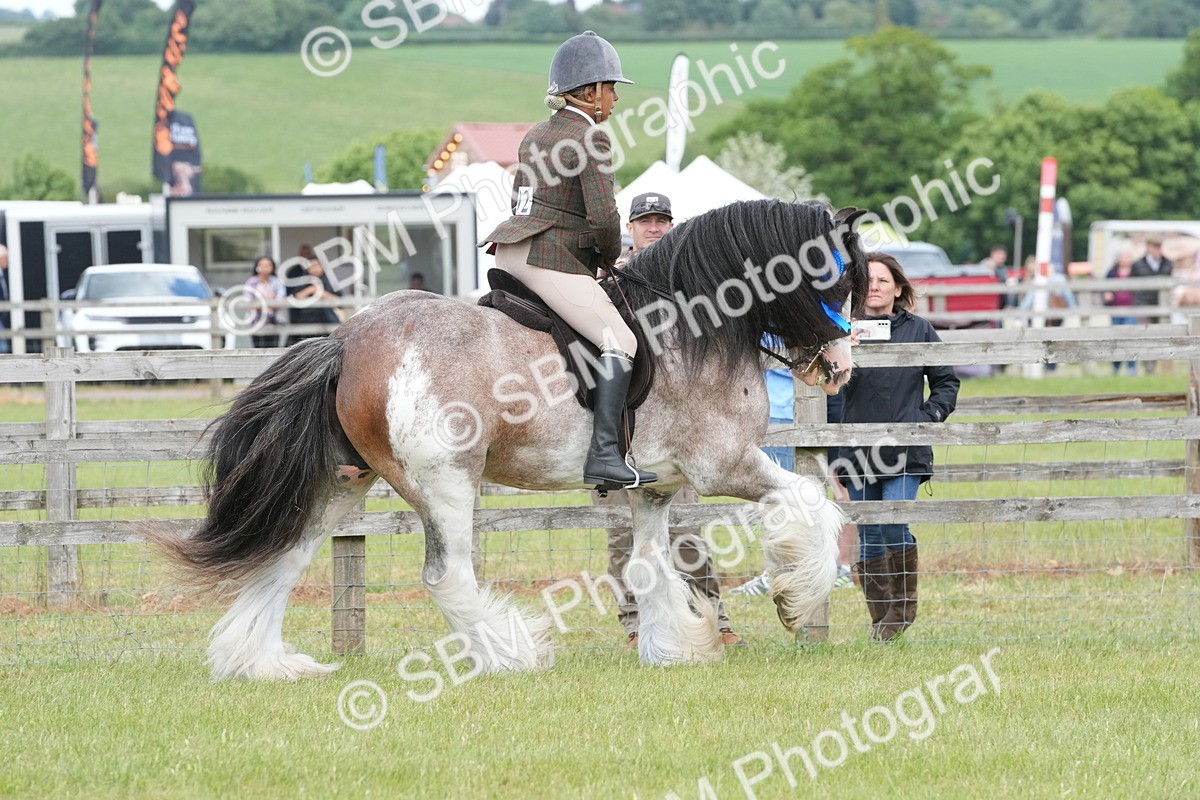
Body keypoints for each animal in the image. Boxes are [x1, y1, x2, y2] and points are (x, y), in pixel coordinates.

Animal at [150, 199, 869, 681]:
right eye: (834, 275)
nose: (839, 368)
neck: (693, 322)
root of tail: (347, 340)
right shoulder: (725, 466)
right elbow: (809, 499)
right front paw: (795, 597)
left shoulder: (656, 487)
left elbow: (645, 565)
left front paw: (675, 649)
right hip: (444, 480)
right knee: (446, 574)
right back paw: (512, 651)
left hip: (343, 481)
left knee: (289, 558)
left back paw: (262, 664)